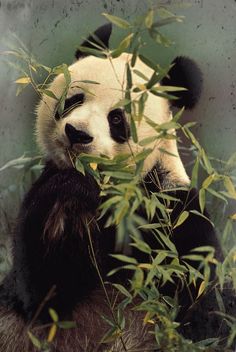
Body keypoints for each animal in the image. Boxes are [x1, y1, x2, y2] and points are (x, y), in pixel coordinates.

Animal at [0, 23, 221, 350]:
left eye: (116, 119)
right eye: (74, 99)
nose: (77, 134)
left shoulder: (173, 207)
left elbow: (196, 293)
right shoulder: (43, 190)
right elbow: (42, 293)